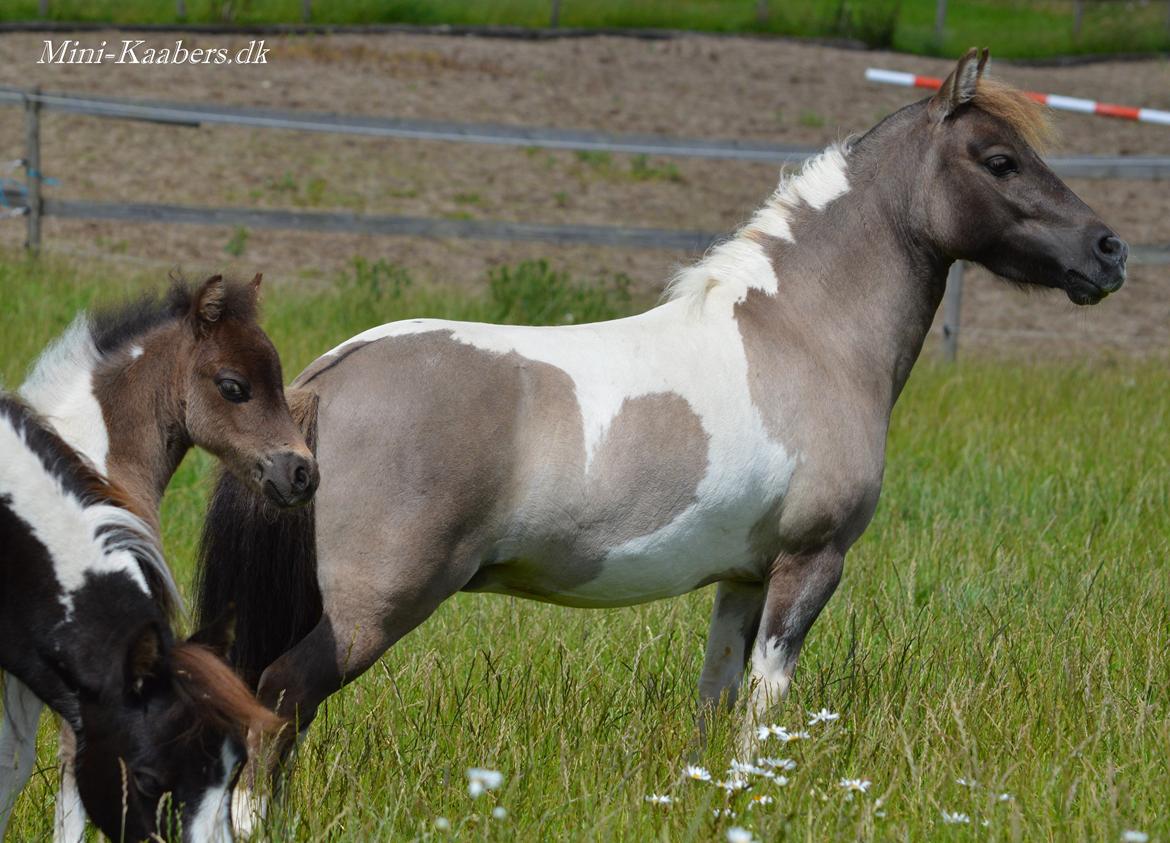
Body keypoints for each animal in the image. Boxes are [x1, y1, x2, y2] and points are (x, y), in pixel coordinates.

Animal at [196, 49, 1127, 823]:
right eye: (1000, 160)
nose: (1110, 251)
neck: (805, 334)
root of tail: (326, 379)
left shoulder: (742, 579)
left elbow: (715, 706)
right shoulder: (809, 565)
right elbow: (765, 712)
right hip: (373, 609)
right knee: (279, 702)